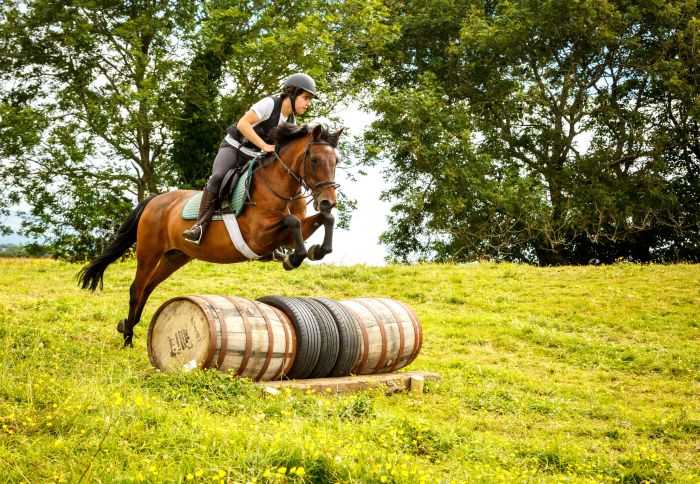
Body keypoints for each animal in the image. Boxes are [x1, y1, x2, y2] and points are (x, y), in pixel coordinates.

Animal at [78, 123, 344, 346]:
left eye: (337, 160)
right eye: (315, 159)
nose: (328, 201)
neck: (280, 186)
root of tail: (155, 199)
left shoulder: (286, 235)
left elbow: (322, 220)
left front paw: (316, 250)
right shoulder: (258, 236)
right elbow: (292, 222)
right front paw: (294, 258)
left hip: (175, 257)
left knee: (148, 287)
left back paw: (128, 326)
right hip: (148, 252)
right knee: (137, 289)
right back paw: (128, 339)